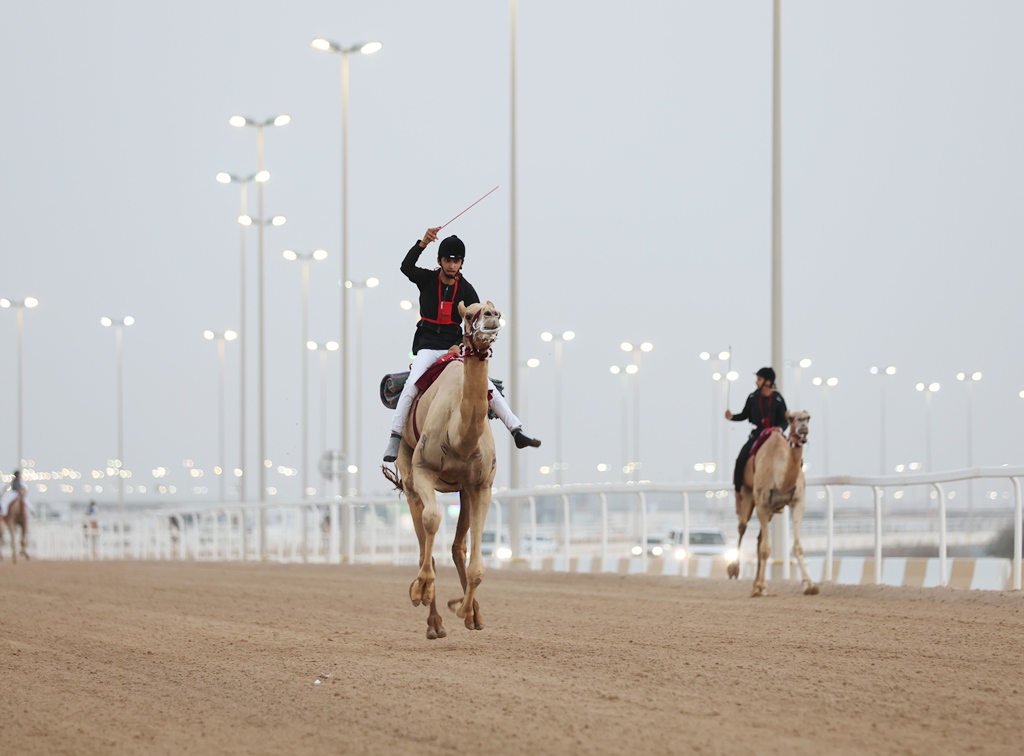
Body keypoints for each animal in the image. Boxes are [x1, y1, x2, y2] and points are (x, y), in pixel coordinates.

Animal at [382, 299, 501, 635]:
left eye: (496, 310)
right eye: (469, 314)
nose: (492, 318)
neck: (458, 436)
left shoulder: (481, 485)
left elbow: (476, 565)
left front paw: (465, 611)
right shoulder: (424, 469)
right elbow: (432, 520)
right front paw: (419, 591)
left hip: (463, 489)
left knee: (458, 546)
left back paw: (472, 614)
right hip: (408, 470)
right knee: (425, 539)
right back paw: (433, 621)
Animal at [724, 409, 819, 598]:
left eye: (808, 418)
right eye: (791, 418)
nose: (803, 429)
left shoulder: (797, 502)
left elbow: (797, 547)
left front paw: (810, 585)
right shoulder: (762, 505)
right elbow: (766, 549)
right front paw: (759, 586)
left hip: (770, 511)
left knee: (759, 538)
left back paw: (757, 585)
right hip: (747, 494)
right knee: (742, 527)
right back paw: (736, 570)